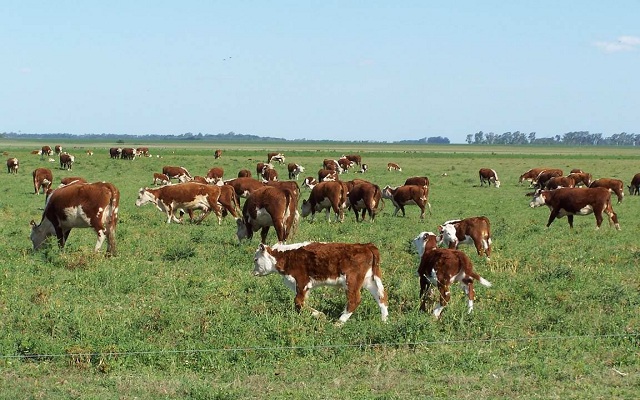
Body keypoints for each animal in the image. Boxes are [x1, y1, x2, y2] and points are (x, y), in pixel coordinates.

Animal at [252, 242, 388, 324]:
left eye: (256, 259)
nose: (253, 272)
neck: (287, 257)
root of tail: (366, 245)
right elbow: (301, 302)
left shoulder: (302, 281)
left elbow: (298, 301)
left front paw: (320, 315)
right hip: (370, 280)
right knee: (381, 297)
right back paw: (384, 321)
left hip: (352, 281)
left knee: (354, 300)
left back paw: (338, 323)